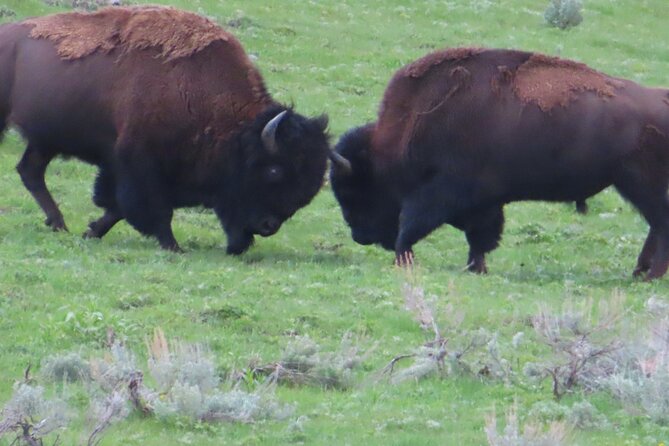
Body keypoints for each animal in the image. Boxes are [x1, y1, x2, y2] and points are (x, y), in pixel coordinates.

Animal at [0, 6, 334, 254]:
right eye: (274, 170)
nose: (268, 226)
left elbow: (118, 207)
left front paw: (91, 231)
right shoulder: (139, 164)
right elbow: (150, 208)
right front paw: (173, 246)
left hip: (46, 140)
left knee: (30, 171)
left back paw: (59, 224)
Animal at [332, 48, 668, 278]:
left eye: (354, 190)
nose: (358, 236)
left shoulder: (439, 195)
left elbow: (411, 226)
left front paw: (404, 261)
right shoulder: (484, 203)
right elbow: (480, 237)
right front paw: (476, 268)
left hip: (639, 183)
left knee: (660, 222)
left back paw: (650, 275)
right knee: (656, 225)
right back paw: (640, 272)